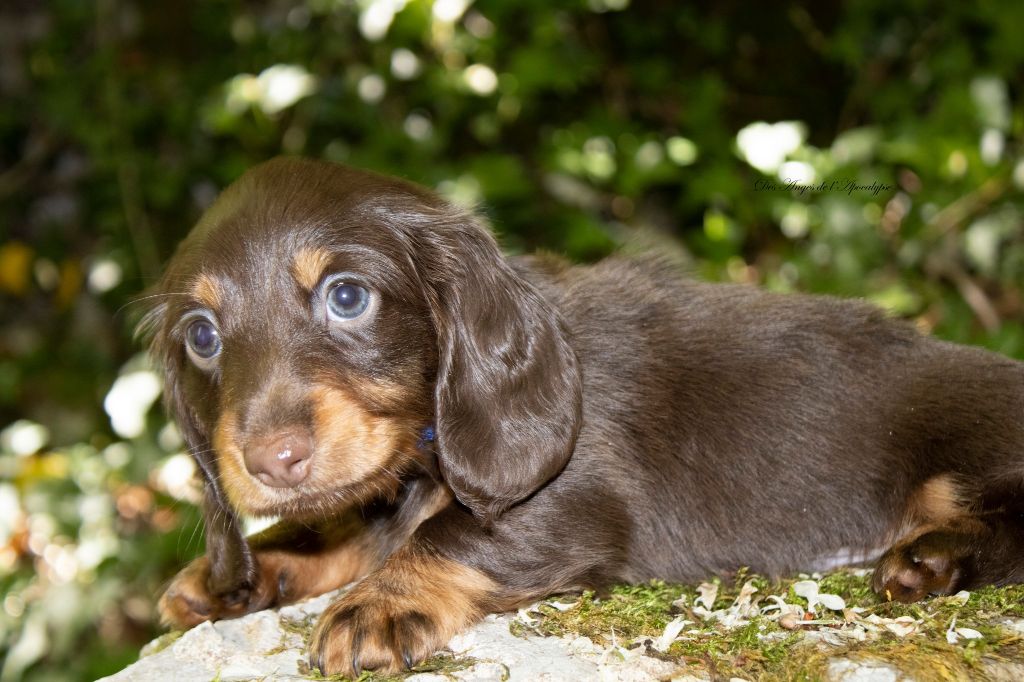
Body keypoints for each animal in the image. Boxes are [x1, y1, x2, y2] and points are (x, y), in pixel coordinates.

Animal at [141, 157, 1024, 676]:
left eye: (347, 296)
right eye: (202, 336)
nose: (272, 460)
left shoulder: (579, 497)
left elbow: (451, 532)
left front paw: (380, 602)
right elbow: (350, 524)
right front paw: (241, 574)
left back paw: (932, 558)